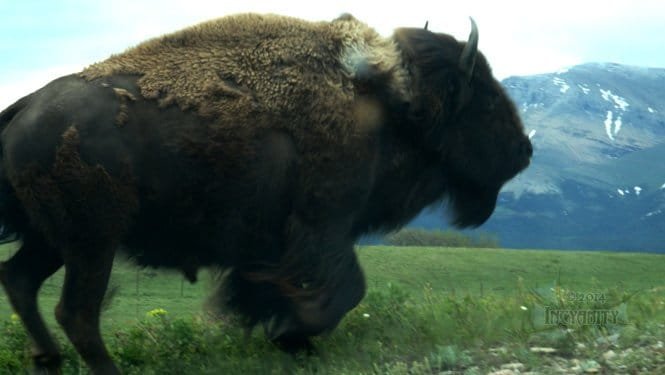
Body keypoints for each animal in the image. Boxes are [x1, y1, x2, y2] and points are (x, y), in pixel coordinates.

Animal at [0, 12, 528, 375]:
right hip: (92, 243)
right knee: (77, 312)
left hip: (54, 242)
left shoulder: (273, 246)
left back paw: (46, 359)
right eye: (483, 98)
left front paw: (284, 338)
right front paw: (293, 335)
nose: (524, 151)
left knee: (22, 280)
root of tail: (24, 106)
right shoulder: (323, 228)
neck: (391, 103)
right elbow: (345, 291)